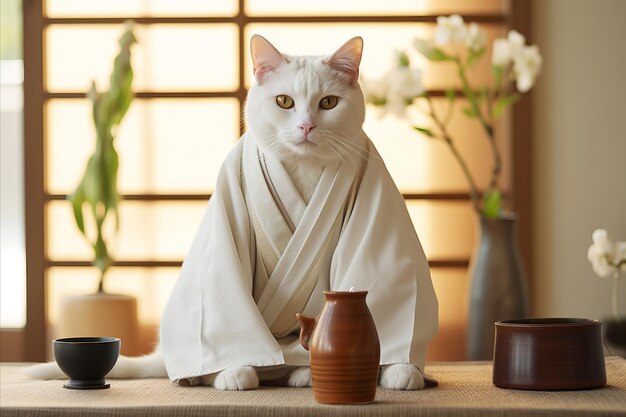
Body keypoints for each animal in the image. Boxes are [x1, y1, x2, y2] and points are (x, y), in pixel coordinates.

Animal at [26, 35, 426, 390]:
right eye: (284, 101)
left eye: (328, 103)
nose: (306, 125)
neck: (304, 167)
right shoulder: (230, 203)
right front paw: (233, 369)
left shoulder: (374, 196)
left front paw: (399, 369)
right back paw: (234, 373)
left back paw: (307, 372)